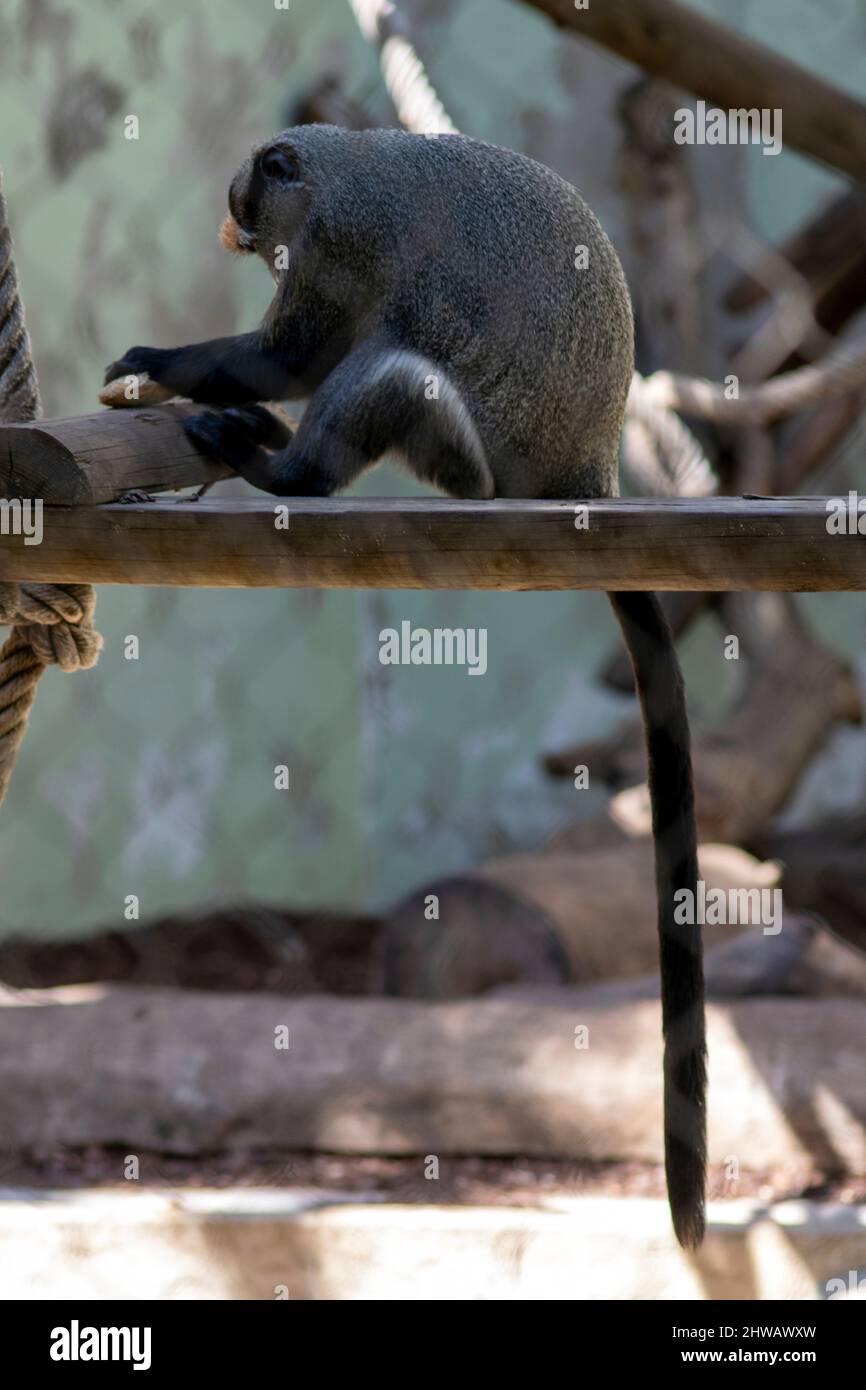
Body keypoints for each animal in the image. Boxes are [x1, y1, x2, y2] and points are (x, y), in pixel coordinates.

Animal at [104, 125, 706, 1248]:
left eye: (249, 207)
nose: (242, 237)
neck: (341, 162)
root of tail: (588, 468)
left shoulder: (337, 238)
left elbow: (301, 357)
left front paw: (161, 367)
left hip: (478, 469)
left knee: (390, 372)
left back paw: (286, 473)